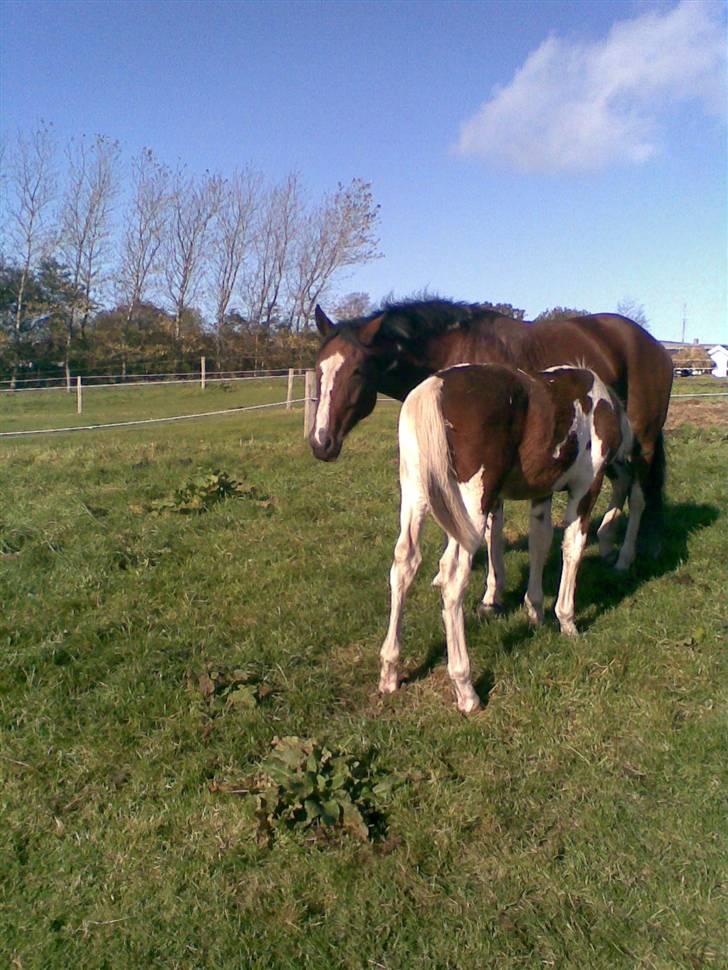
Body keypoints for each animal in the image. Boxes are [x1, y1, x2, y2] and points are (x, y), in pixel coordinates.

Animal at [310, 298, 672, 588]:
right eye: (318, 368)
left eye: (357, 371)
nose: (320, 441)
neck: (451, 350)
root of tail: (654, 345)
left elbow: (490, 530)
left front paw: (491, 594)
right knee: (622, 483)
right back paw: (607, 543)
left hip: (643, 442)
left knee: (639, 496)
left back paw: (624, 558)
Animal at [382, 364, 632, 712]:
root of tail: (433, 388)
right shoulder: (586, 489)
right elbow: (572, 548)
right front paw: (567, 622)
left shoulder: (541, 493)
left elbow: (540, 544)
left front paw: (535, 612)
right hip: (471, 505)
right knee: (453, 577)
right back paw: (466, 689)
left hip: (416, 497)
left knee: (404, 564)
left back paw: (390, 672)